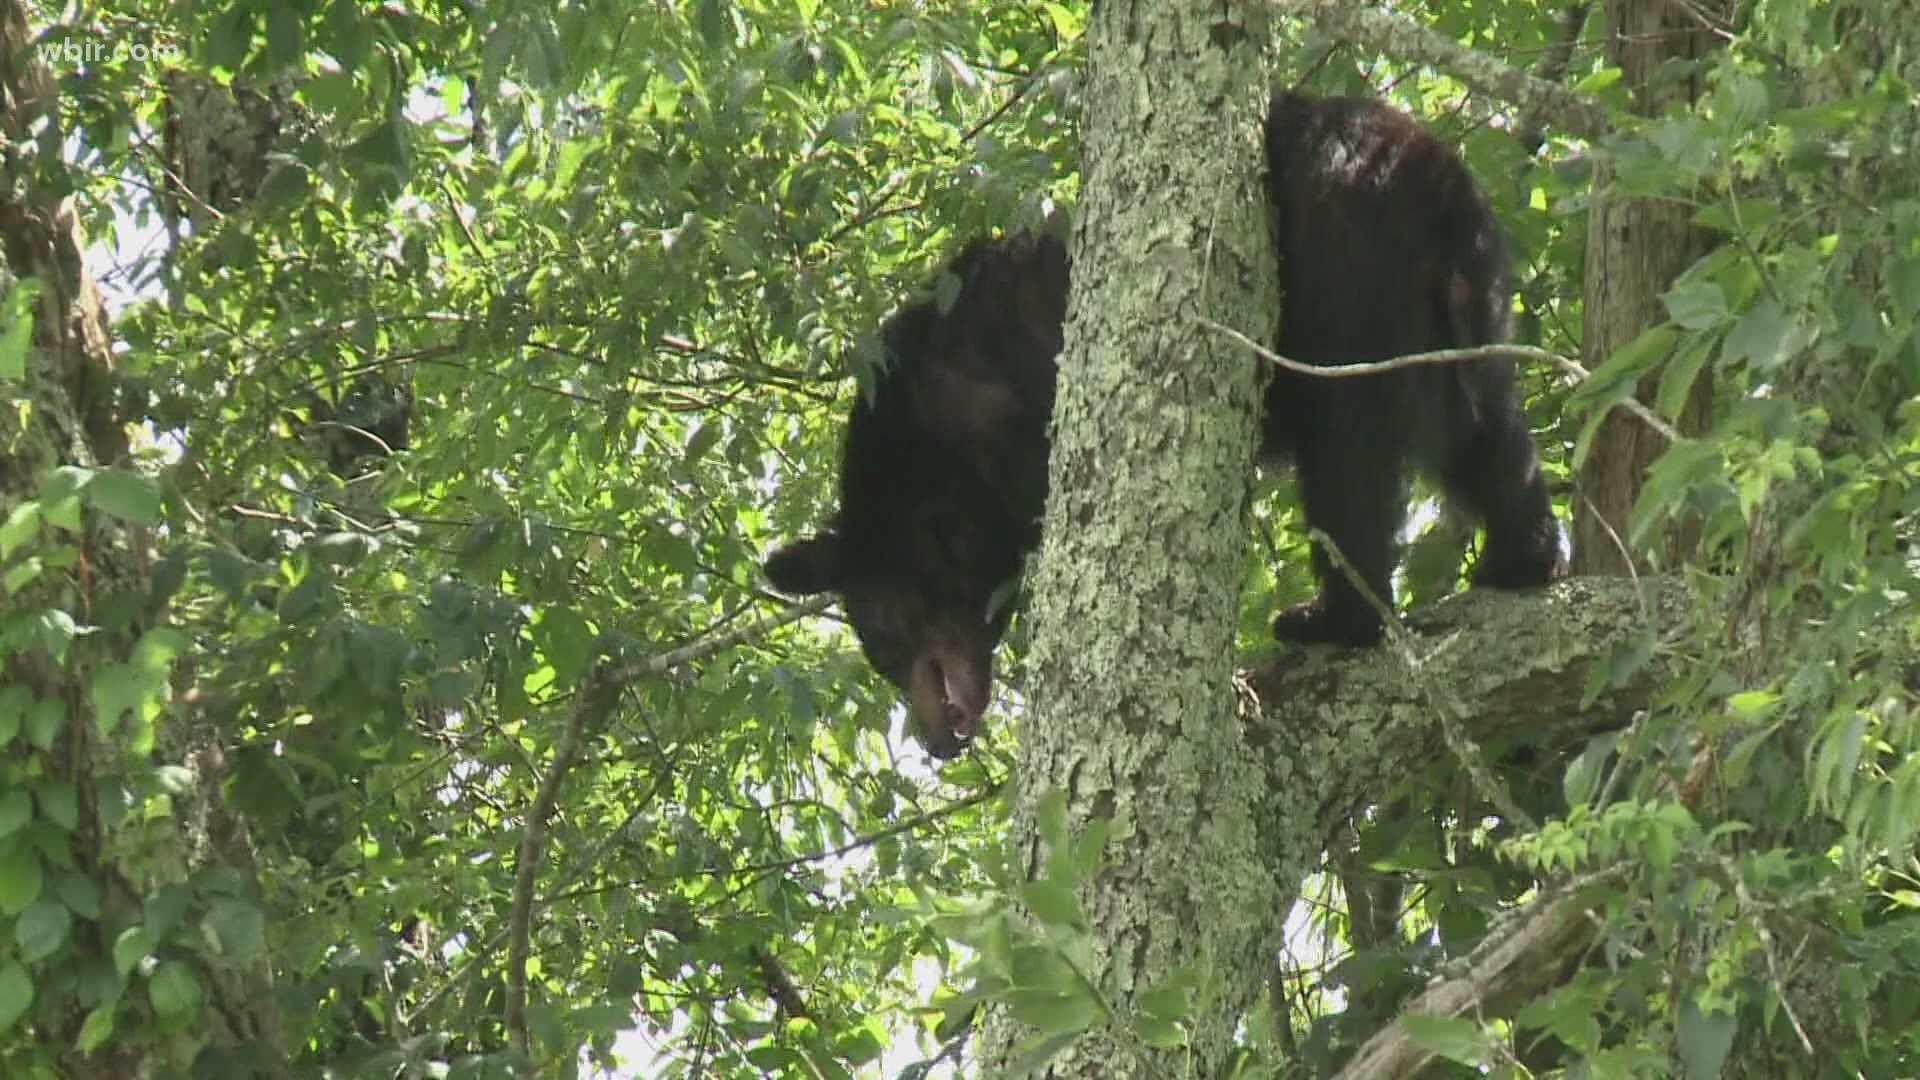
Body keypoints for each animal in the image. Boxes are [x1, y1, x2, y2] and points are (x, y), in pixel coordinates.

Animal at [756, 90, 1566, 757]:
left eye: (883, 638)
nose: (935, 741)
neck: (926, 446)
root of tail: (1437, 186)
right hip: (1469, 315)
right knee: (1492, 438)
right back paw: (1521, 560)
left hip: (1348, 282)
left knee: (1349, 459)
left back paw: (1333, 617)